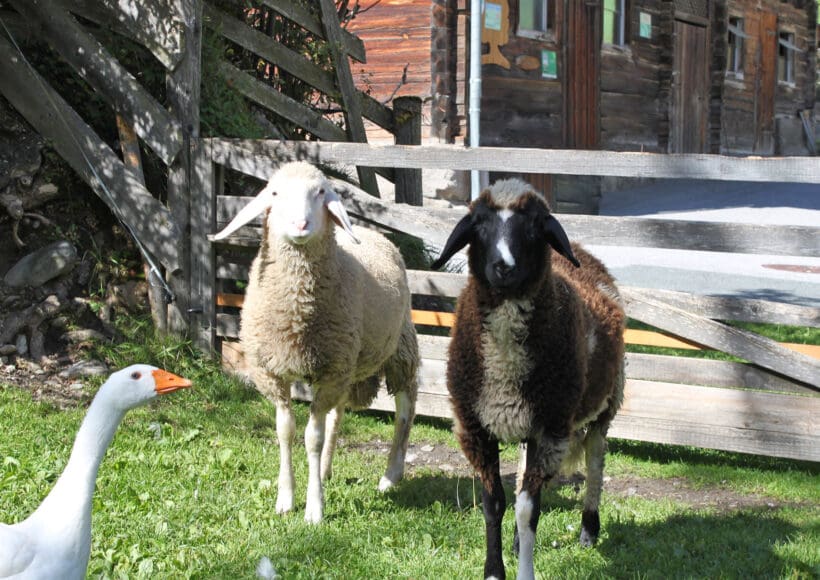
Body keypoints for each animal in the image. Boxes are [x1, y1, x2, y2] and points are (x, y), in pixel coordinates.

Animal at [213, 161, 416, 524]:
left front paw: (314, 508)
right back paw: (324, 471)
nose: (300, 224)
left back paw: (390, 476)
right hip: (348, 362)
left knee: (405, 410)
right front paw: (285, 499)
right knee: (338, 413)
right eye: (275, 193)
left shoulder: (329, 371)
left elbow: (313, 438)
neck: (297, 314)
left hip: (399, 347)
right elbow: (285, 430)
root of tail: (375, 234)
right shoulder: (274, 372)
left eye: (320, 192)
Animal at [432, 178, 624, 580]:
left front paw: (524, 571)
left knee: (595, 464)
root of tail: (580, 250)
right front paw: (494, 570)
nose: (503, 266)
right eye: (479, 225)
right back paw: (522, 542)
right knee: (525, 474)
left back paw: (588, 529)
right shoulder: (477, 429)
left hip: (605, 403)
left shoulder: (549, 430)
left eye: (535, 227)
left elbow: (527, 510)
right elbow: (494, 504)